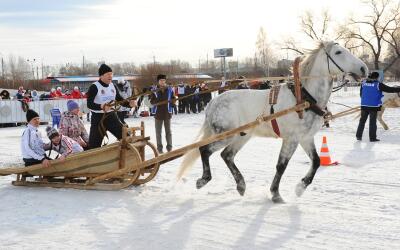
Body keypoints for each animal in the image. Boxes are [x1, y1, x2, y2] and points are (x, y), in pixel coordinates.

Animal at [180, 42, 368, 203]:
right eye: (338, 52)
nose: (364, 68)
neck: (304, 99)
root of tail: (213, 103)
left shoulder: (305, 138)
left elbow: (316, 162)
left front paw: (300, 187)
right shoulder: (291, 139)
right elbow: (281, 166)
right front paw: (276, 193)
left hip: (242, 136)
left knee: (227, 155)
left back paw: (241, 185)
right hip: (226, 135)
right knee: (205, 150)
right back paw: (204, 179)